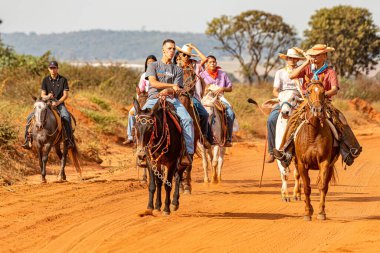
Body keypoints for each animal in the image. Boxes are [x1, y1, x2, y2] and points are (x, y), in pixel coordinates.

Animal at [292, 77, 340, 221]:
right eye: (308, 92)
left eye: (324, 92)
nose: (317, 110)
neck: (313, 134)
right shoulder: (302, 164)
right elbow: (307, 188)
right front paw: (307, 212)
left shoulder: (325, 162)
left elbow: (322, 186)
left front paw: (321, 212)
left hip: (330, 166)